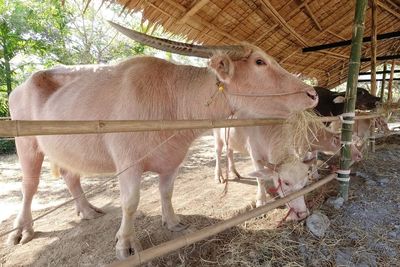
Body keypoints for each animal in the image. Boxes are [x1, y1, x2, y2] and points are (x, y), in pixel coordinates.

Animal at [7, 22, 318, 260]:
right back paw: (22, 229)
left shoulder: (172, 160)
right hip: (26, 143)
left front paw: (173, 223)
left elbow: (166, 192)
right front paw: (125, 243)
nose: (312, 93)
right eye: (259, 62)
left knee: (71, 176)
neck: (171, 101)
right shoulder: (128, 164)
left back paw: (87, 211)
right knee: (29, 185)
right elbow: (130, 203)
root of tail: (21, 86)